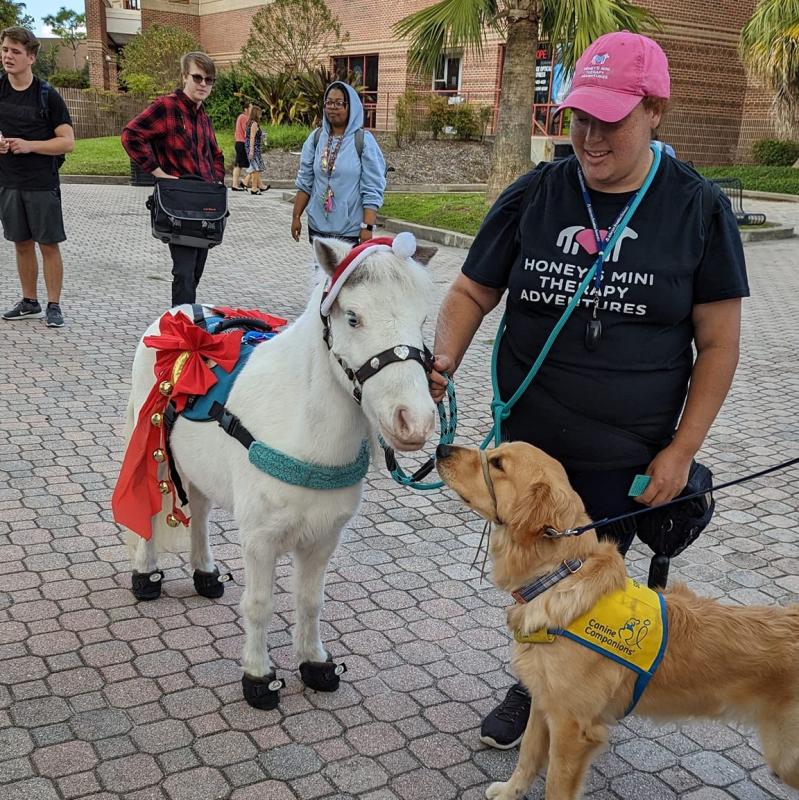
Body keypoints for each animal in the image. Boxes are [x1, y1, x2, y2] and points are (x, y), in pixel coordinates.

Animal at [125, 236, 438, 708]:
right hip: (152, 451)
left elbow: (310, 602)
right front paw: (258, 676)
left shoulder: (323, 540)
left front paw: (314, 662)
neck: (301, 431)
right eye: (353, 317)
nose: (413, 422)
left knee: (199, 512)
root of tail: (178, 313)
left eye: (421, 319)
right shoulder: (260, 540)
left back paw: (205, 573)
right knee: (149, 509)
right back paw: (146, 575)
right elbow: (259, 604)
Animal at [438, 440, 799, 796]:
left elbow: (555, 784)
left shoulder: (572, 728)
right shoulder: (544, 703)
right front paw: (510, 791)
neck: (558, 577)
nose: (442, 449)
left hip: (785, 757)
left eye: (498, 464)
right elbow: (527, 754)